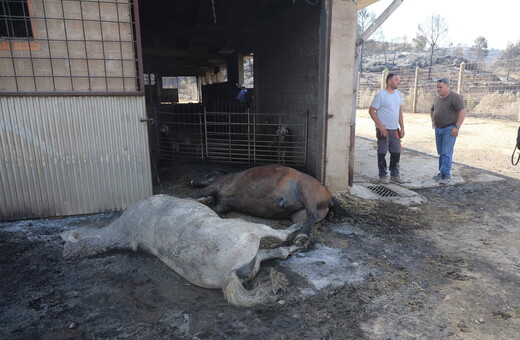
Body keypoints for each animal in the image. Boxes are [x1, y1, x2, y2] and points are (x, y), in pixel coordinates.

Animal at [60, 195, 300, 306]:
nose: (66, 256)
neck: (125, 230)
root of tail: (227, 275)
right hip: (250, 230)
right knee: (276, 236)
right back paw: (297, 234)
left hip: (250, 263)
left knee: (270, 254)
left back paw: (294, 246)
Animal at [191, 164, 338, 244]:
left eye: (208, 174)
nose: (192, 181)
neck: (227, 178)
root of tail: (328, 196)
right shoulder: (223, 205)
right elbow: (213, 208)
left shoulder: (214, 187)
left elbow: (196, 196)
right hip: (298, 214)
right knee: (304, 220)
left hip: (306, 189)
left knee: (313, 213)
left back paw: (301, 237)